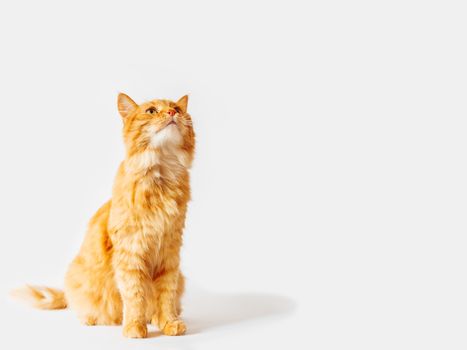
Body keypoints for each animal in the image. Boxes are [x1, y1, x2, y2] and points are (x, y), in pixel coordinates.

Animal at [12, 93, 196, 340]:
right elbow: (135, 295)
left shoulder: (169, 256)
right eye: (151, 111)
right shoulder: (130, 254)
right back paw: (91, 319)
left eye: (177, 108)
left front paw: (169, 322)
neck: (162, 175)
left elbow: (165, 296)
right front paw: (135, 328)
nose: (172, 113)